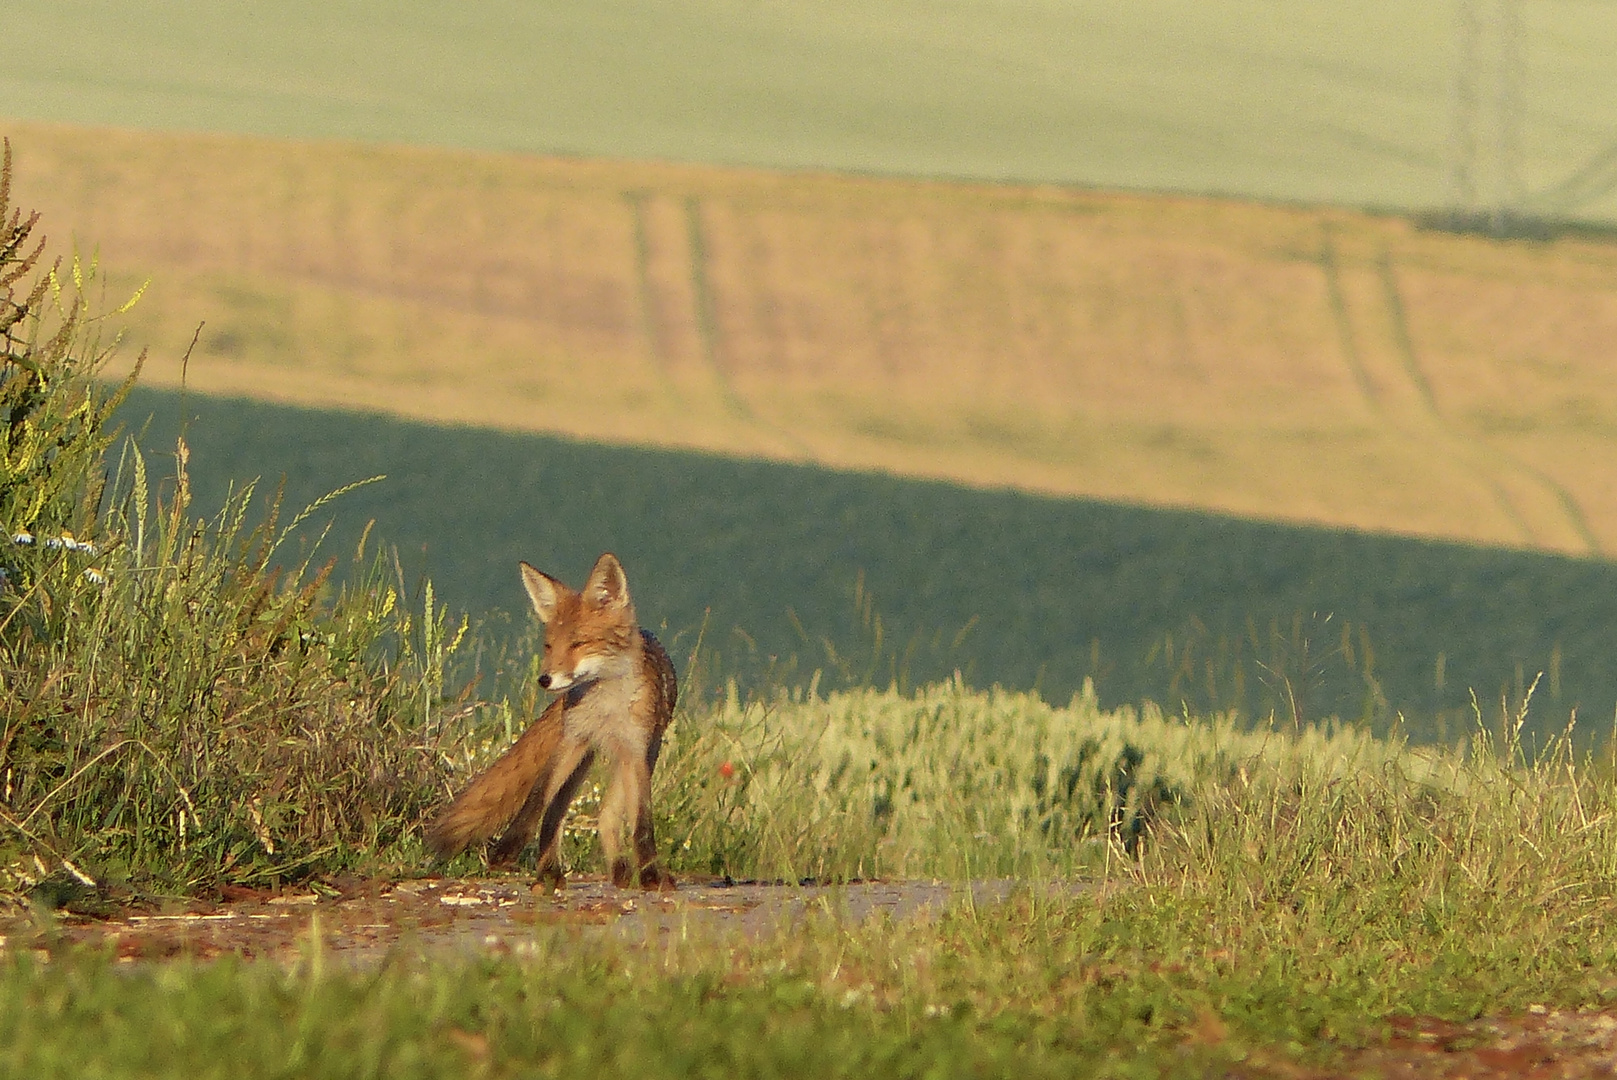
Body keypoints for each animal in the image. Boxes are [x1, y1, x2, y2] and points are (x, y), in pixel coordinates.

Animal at [423, 552, 675, 892]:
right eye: (549, 646)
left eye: (578, 644)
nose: (544, 679)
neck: (605, 707)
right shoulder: (571, 740)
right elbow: (537, 797)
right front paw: (507, 847)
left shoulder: (636, 749)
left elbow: (642, 823)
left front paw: (650, 875)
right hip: (581, 758)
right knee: (556, 812)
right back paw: (549, 873)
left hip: (638, 756)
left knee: (607, 815)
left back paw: (618, 870)